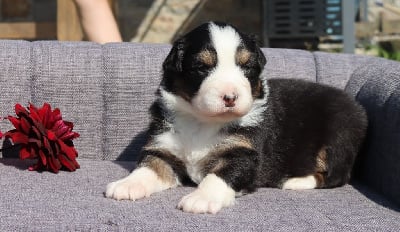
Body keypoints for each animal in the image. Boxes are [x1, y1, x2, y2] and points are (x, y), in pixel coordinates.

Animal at [104, 21, 368, 214]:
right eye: (202, 67)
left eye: (246, 67)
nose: (230, 97)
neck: (203, 121)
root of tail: (356, 106)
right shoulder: (164, 147)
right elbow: (150, 166)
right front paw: (127, 185)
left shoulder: (244, 153)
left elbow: (220, 175)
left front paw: (201, 199)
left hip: (337, 137)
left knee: (337, 176)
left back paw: (295, 181)